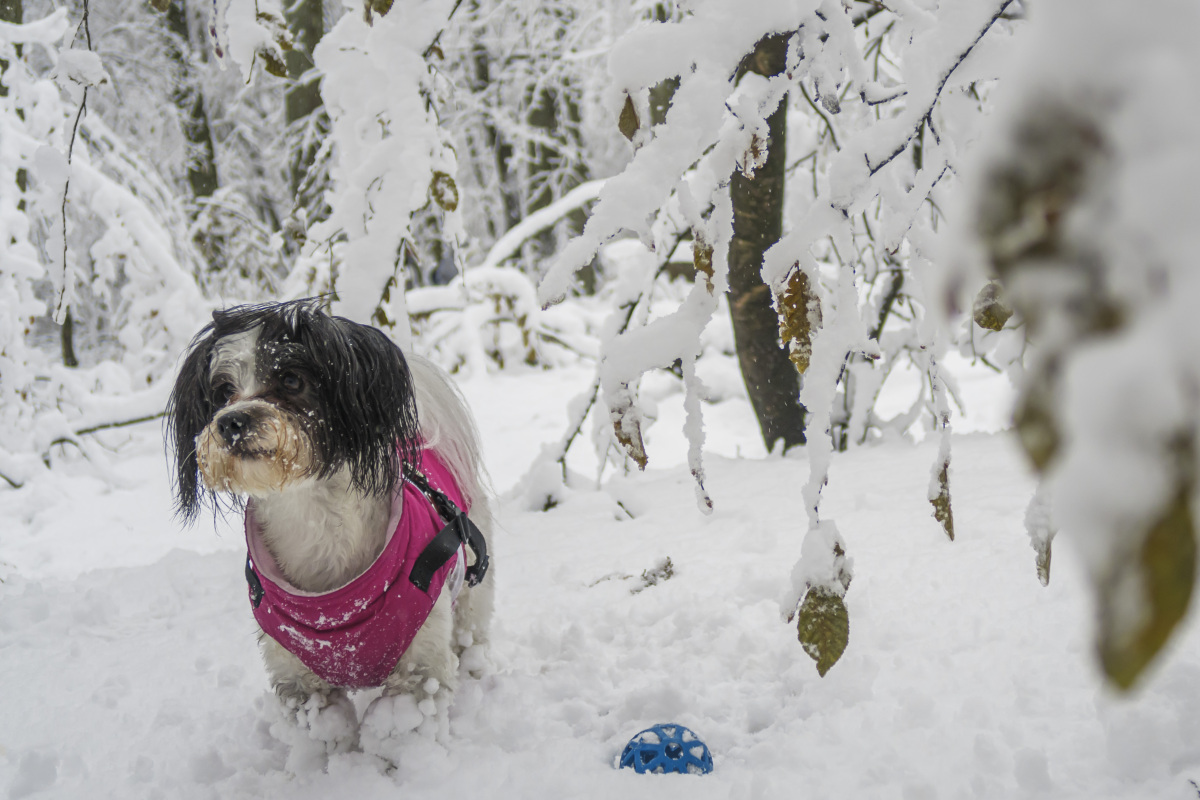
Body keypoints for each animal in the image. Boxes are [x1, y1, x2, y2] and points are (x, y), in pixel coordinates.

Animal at [166, 298, 494, 758]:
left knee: (471, 635)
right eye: (223, 392)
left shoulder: (420, 663)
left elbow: (402, 727)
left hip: (471, 590)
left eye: (290, 378)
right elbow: (324, 729)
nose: (231, 421)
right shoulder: (297, 675)